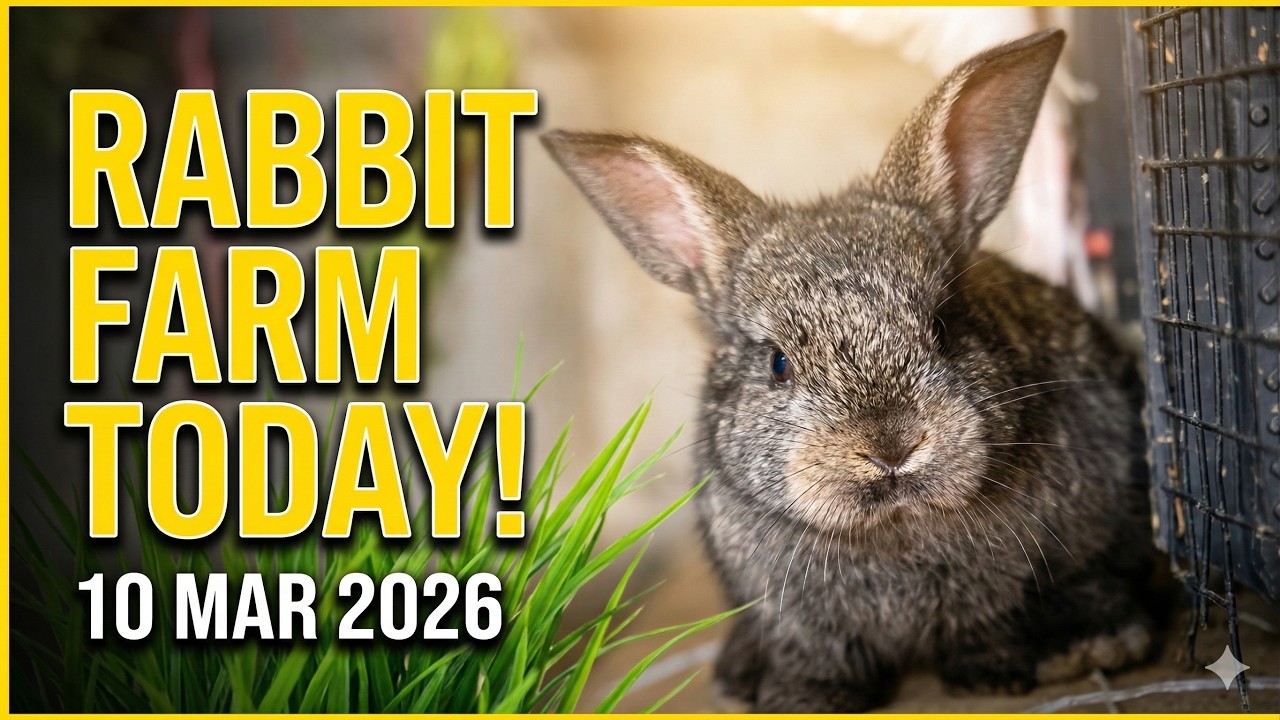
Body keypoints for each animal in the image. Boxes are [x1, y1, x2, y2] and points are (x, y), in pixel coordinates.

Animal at [543, 29, 1156, 712]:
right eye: (778, 363)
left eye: (943, 326)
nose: (891, 446)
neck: (896, 528)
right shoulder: (797, 620)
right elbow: (817, 658)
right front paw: (800, 699)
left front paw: (996, 674)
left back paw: (1094, 646)